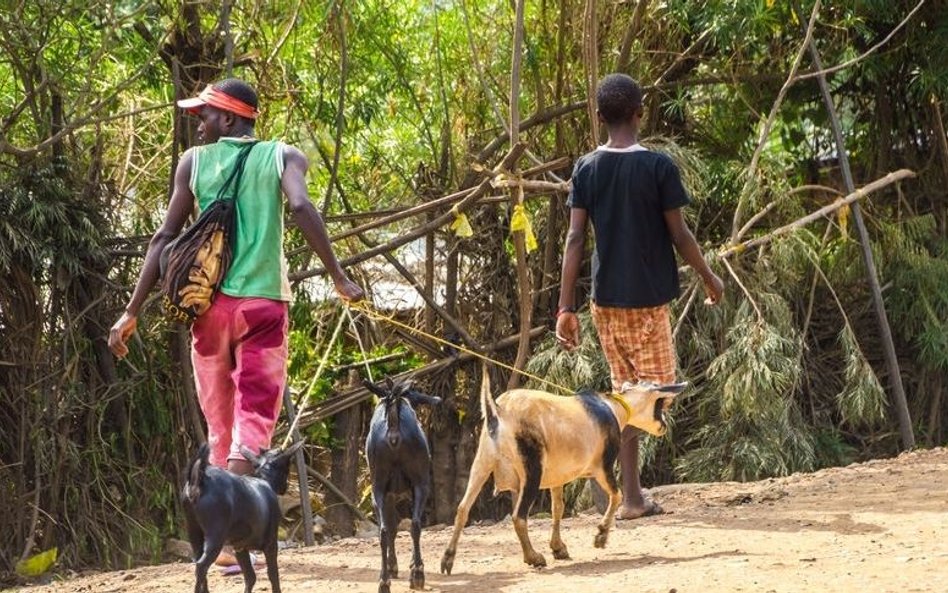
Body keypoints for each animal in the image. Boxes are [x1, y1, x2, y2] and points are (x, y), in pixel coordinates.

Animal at [182, 440, 304, 592]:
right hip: (215, 536)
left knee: (199, 564)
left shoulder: (240, 548)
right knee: (201, 566)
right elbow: (273, 575)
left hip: (194, 533)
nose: (286, 487)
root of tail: (200, 479)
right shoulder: (271, 544)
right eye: (287, 467)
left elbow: (250, 577)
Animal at [364, 380, 442, 592]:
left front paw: (394, 566)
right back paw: (416, 574)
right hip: (420, 483)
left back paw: (386, 580)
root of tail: (393, 430)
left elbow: (392, 526)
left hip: (379, 486)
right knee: (412, 524)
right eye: (415, 392)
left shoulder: (387, 493)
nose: (436, 399)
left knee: (386, 530)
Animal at [440, 366, 684, 572]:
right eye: (659, 400)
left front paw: (559, 548)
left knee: (463, 509)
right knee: (518, 516)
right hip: (532, 469)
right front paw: (600, 536)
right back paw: (533, 558)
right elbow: (616, 496)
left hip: (482, 463)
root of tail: (497, 412)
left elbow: (558, 508)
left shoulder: (557, 477)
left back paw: (448, 559)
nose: (664, 426)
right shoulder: (602, 467)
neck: (614, 408)